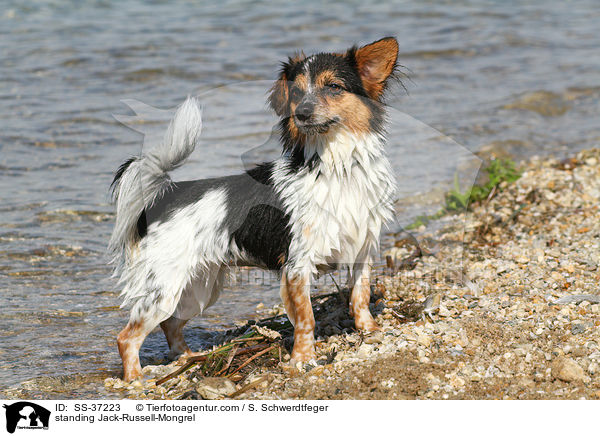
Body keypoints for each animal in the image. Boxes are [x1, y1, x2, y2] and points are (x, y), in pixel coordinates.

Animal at [110, 36, 400, 382]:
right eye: (297, 94)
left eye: (334, 87)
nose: (302, 113)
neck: (337, 166)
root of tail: (165, 197)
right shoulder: (297, 266)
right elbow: (306, 318)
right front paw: (302, 359)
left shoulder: (362, 251)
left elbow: (360, 297)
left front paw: (371, 331)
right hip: (165, 288)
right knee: (127, 337)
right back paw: (135, 381)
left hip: (198, 289)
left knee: (171, 323)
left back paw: (187, 358)